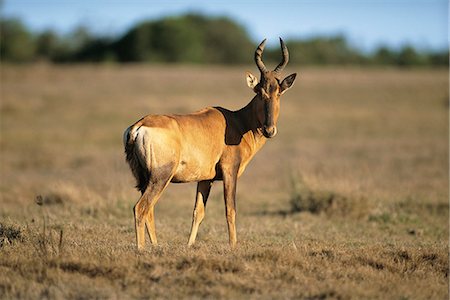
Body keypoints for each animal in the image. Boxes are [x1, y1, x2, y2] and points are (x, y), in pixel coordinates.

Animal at [125, 38, 298, 250]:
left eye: (279, 93)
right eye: (260, 92)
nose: (269, 130)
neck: (236, 121)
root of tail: (138, 126)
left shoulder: (205, 179)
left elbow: (198, 213)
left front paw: (190, 245)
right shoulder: (230, 171)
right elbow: (230, 210)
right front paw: (233, 246)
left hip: (145, 179)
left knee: (149, 210)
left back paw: (156, 246)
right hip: (161, 176)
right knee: (141, 208)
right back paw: (141, 249)